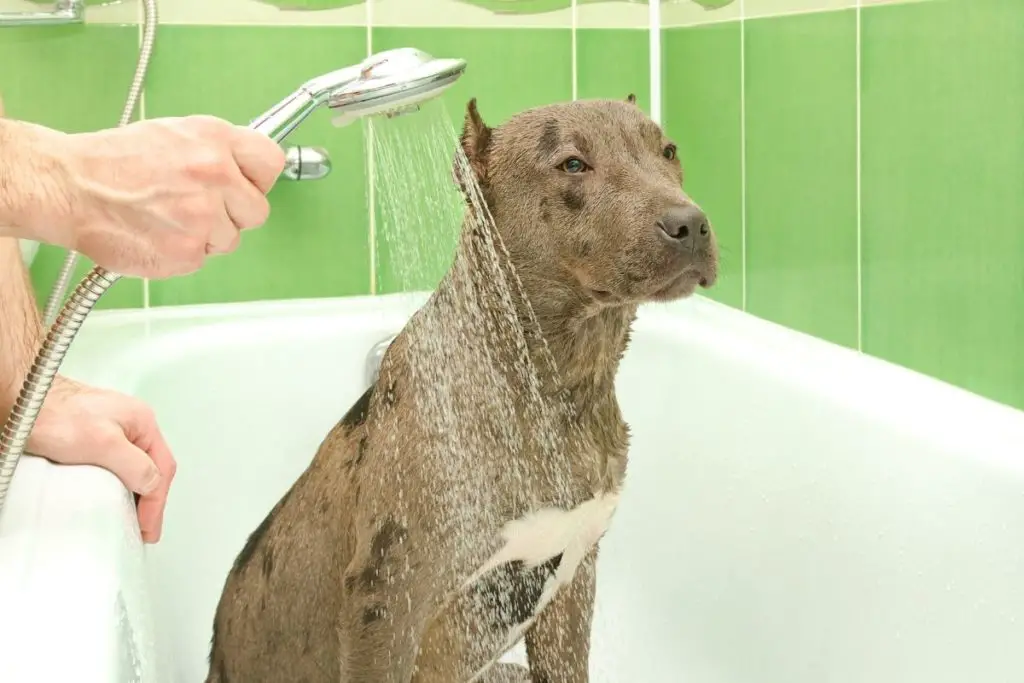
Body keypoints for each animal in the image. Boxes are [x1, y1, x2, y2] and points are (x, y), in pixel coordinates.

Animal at [205, 92, 720, 683]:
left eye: (668, 151)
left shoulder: (573, 580)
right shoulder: (386, 608)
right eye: (572, 163)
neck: (548, 386)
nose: (691, 224)